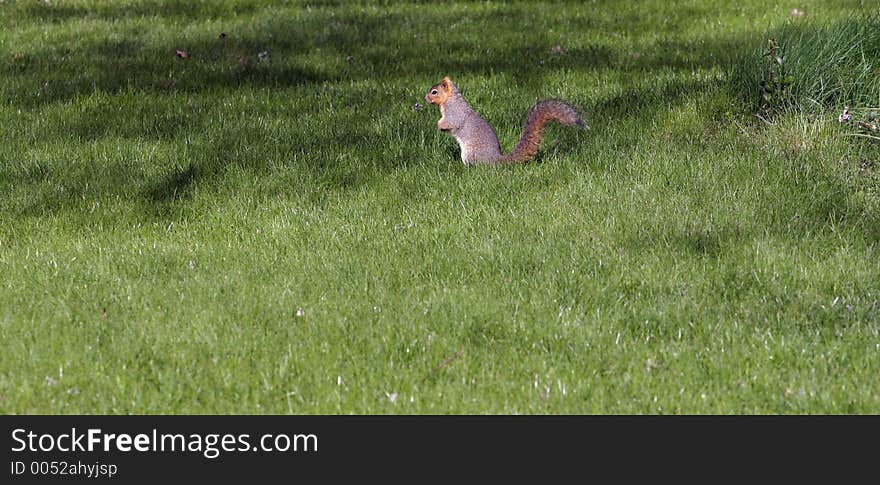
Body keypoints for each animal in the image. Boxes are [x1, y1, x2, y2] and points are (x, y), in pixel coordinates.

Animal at [424, 76, 588, 165]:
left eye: (434, 92)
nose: (425, 98)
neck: (450, 99)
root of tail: (496, 159)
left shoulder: (453, 114)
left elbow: (449, 123)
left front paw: (439, 125)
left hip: (470, 154)